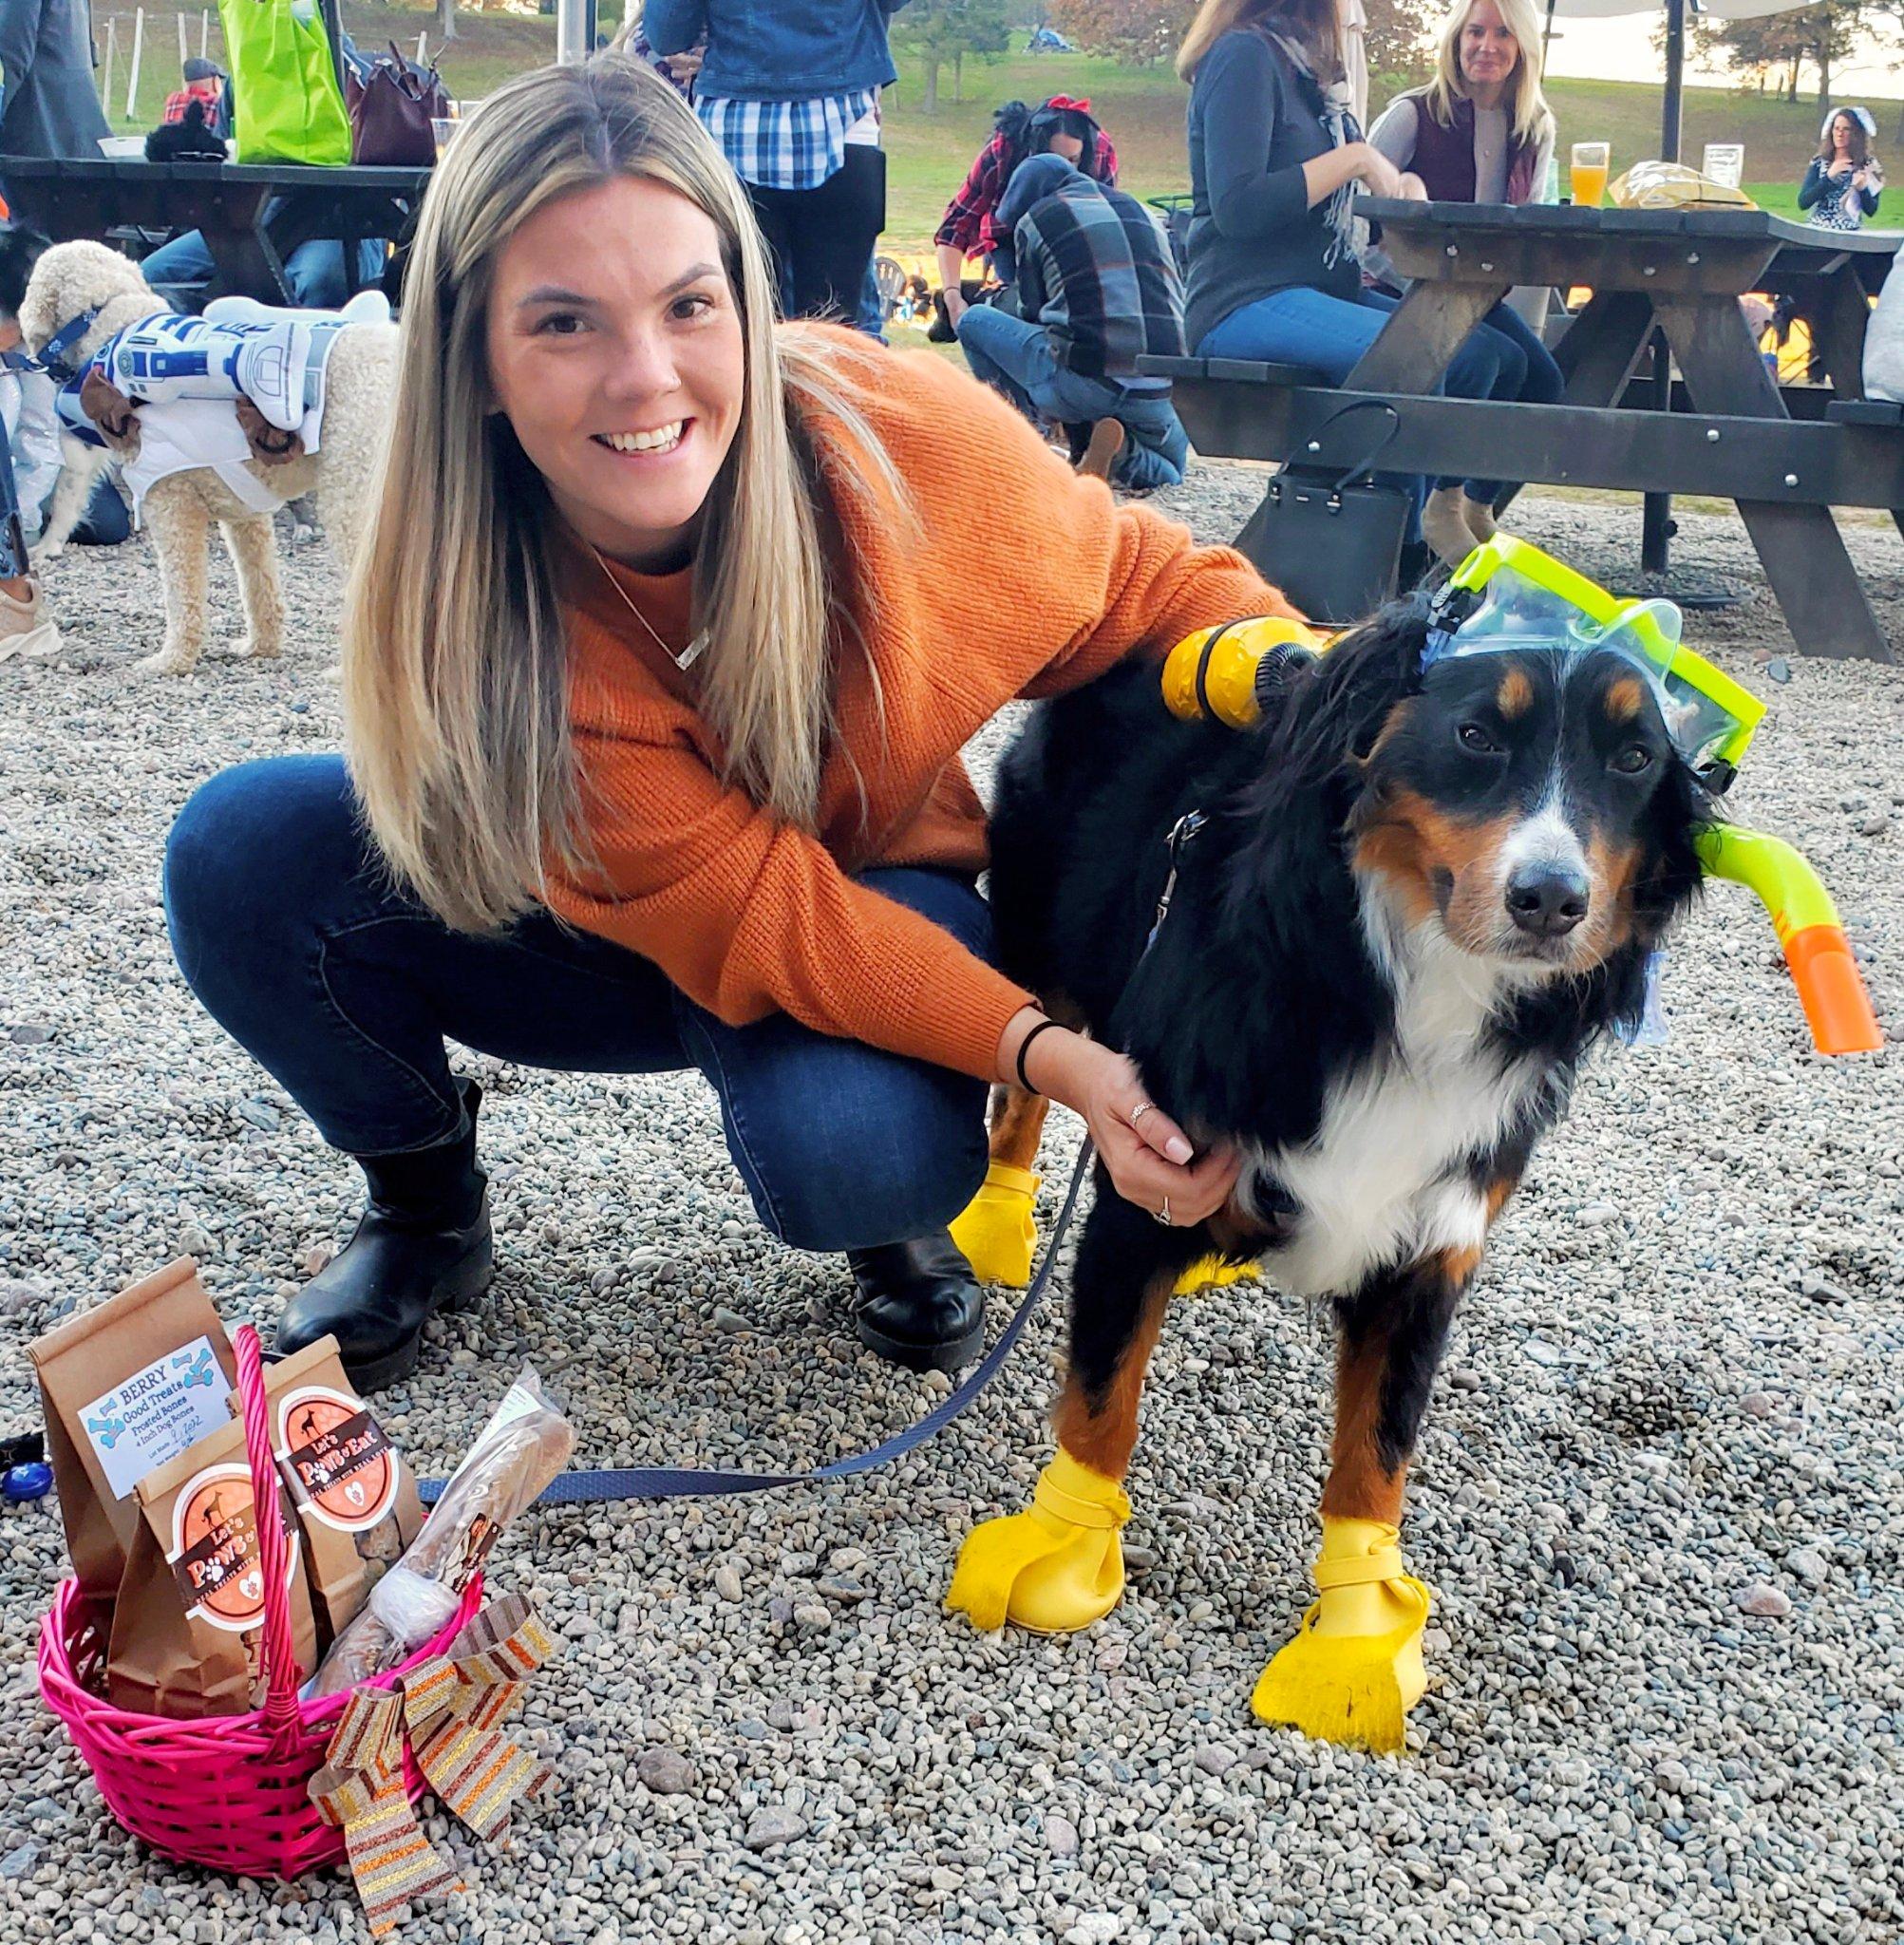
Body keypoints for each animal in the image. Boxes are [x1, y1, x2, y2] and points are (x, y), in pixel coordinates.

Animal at [15, 243, 398, 676]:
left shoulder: (171, 507)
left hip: (352, 497)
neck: (118, 325)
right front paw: (260, 646)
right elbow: (258, 586)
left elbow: (183, 593)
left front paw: (172, 660)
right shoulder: (247, 516)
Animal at [952, 587, 1711, 1750]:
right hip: (1043, 943)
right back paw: (994, 1222)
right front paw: (1063, 1544)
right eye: (1475, 734)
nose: (1551, 899)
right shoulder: (1144, 1176)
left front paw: (1354, 1638)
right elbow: (1102, 1397)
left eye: (1634, 758)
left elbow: (1375, 1457)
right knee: (1023, 1075)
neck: (1408, 989)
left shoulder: (1432, 1243)